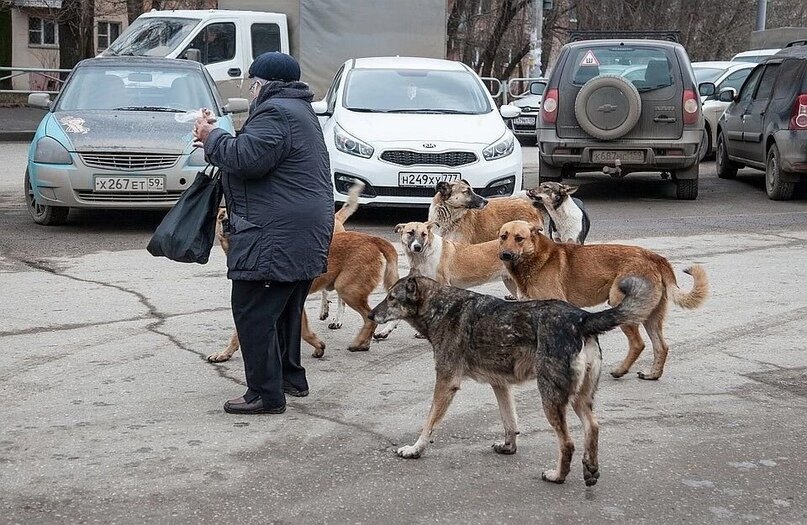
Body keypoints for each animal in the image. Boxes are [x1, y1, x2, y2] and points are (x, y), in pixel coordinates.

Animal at [370, 276, 660, 486]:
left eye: (391, 298)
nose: (371, 315)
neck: (441, 308)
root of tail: (581, 317)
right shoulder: (501, 386)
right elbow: (509, 421)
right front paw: (509, 447)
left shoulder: (446, 381)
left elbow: (429, 423)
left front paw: (415, 449)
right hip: (579, 399)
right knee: (593, 427)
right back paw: (590, 469)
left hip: (551, 398)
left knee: (567, 443)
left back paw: (558, 476)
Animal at [498, 221, 708, 380]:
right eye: (503, 236)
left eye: (519, 238)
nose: (505, 255)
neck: (535, 259)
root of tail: (656, 257)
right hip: (651, 316)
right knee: (661, 346)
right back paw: (652, 374)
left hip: (621, 306)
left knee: (638, 344)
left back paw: (620, 370)